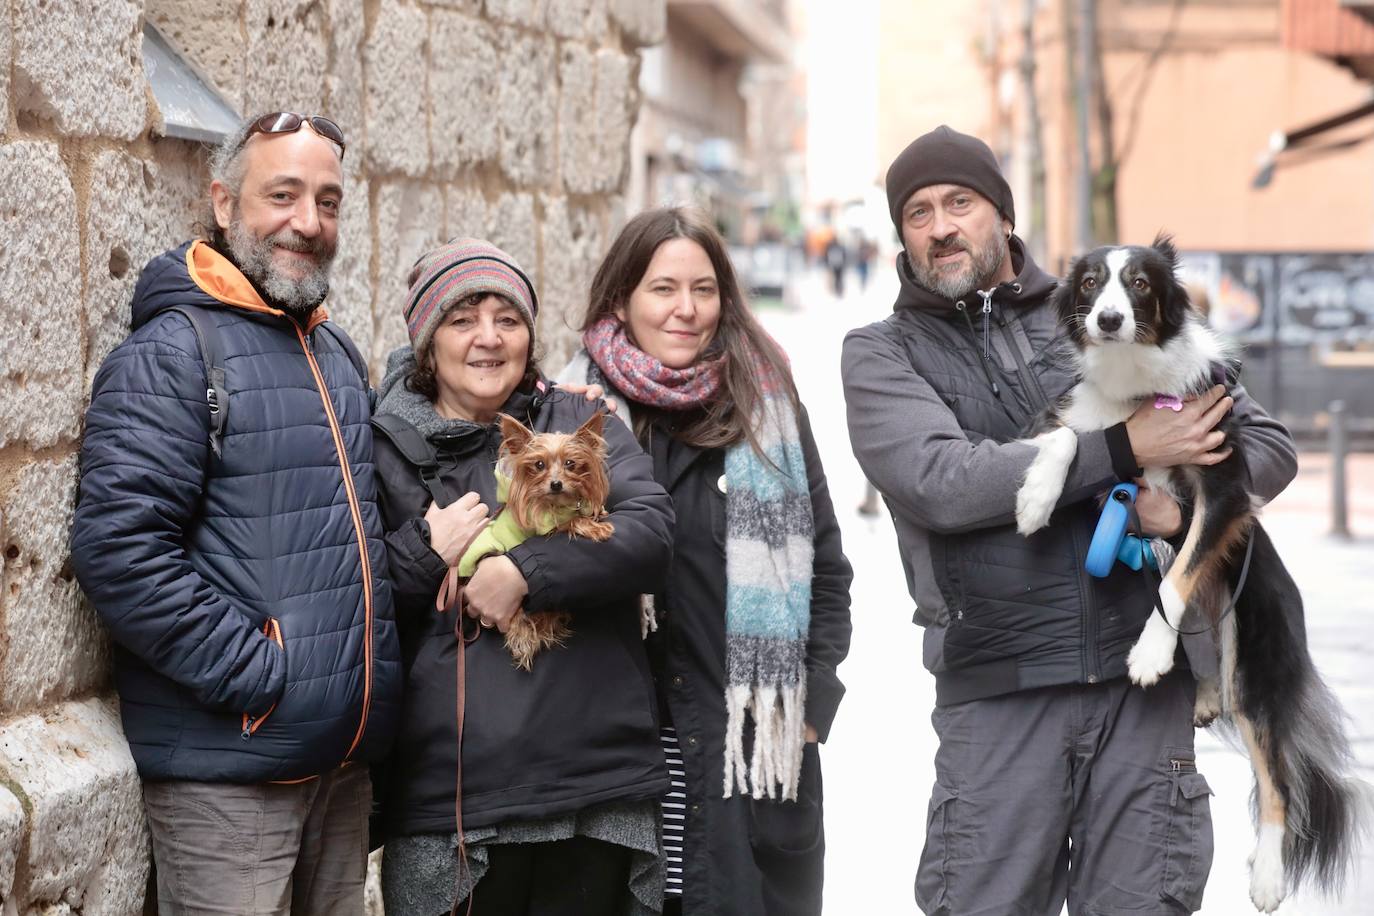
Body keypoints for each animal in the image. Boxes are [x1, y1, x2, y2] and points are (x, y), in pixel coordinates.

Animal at [1016, 234, 1357, 911]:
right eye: (1090, 283)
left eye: (1141, 284)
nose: (1108, 320)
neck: (1136, 381)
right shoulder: (1080, 426)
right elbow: (1066, 440)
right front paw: (1035, 500)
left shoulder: (1223, 490)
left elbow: (1180, 576)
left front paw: (1149, 654)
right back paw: (1200, 694)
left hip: (1256, 668)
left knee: (1278, 783)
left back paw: (1268, 875)